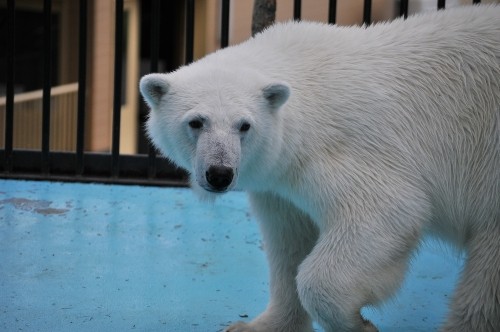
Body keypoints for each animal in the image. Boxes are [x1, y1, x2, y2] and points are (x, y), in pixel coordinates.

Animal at [140, 5, 500, 332]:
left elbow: (388, 212)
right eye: (196, 122)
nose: (219, 173)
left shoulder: (347, 148)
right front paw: (257, 326)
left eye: (244, 125)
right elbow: (290, 242)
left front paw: (357, 324)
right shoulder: (280, 186)